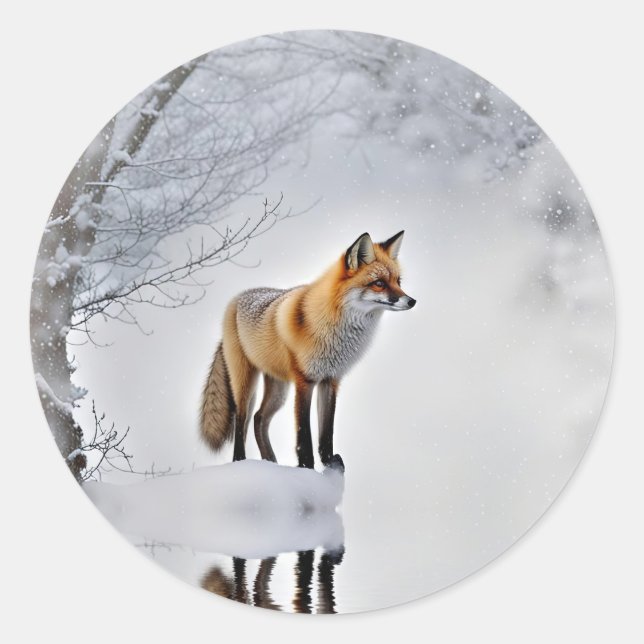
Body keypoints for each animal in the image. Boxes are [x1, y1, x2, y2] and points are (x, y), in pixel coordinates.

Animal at [199, 230, 416, 470]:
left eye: (398, 281)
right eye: (379, 283)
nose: (412, 301)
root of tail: (237, 299)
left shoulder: (330, 380)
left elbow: (326, 433)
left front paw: (330, 463)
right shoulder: (304, 380)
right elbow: (304, 435)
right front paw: (306, 467)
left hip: (279, 389)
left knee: (259, 419)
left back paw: (271, 462)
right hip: (247, 383)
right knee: (242, 420)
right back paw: (241, 461)